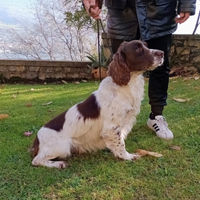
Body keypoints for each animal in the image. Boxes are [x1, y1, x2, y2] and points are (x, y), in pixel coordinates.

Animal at [30, 39, 162, 168]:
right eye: (138, 49)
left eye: (146, 45)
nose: (162, 53)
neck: (127, 83)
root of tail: (37, 139)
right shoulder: (112, 127)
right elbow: (121, 145)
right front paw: (128, 157)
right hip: (62, 147)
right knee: (36, 160)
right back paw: (59, 164)